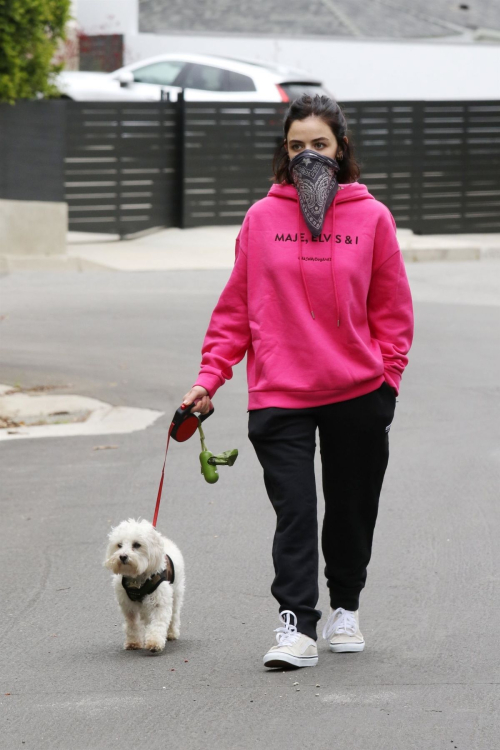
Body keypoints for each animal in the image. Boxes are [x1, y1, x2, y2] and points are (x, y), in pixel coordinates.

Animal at [104, 520, 186, 656]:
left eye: (137, 545)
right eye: (119, 545)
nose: (123, 556)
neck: (137, 578)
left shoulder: (159, 602)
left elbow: (157, 623)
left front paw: (155, 643)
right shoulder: (128, 606)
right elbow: (132, 624)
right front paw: (133, 642)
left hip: (176, 592)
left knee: (174, 614)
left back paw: (171, 633)